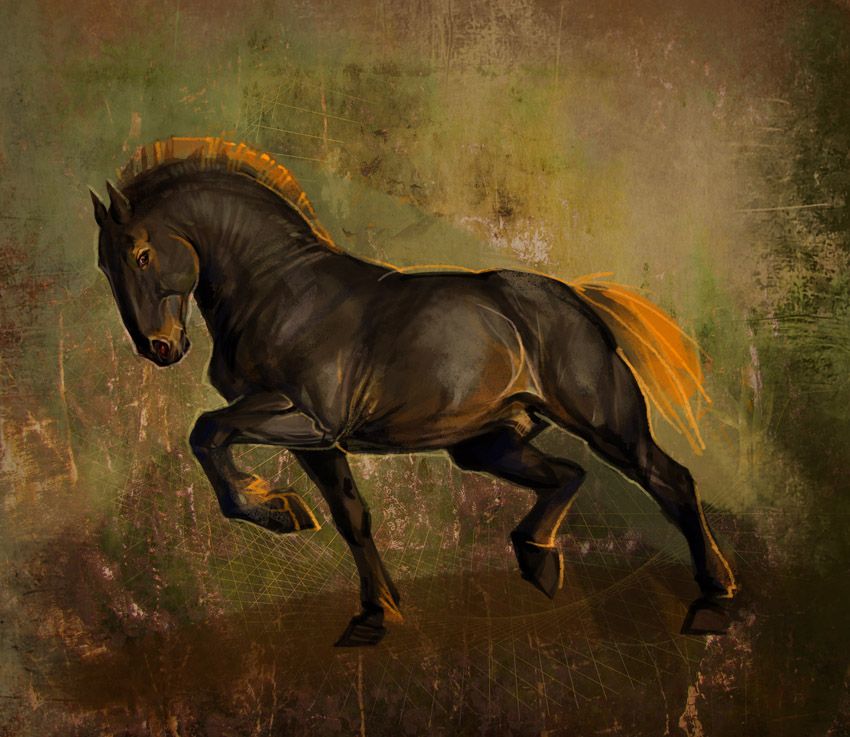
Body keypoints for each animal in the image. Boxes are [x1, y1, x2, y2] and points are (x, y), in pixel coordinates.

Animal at [90, 136, 737, 646]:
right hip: (484, 445)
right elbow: (352, 518)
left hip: (606, 424)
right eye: (105, 264)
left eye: (141, 253)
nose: (160, 348)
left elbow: (208, 431)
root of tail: (577, 298)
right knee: (566, 475)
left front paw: (279, 511)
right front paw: (374, 614)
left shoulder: (308, 419)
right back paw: (537, 559)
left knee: (670, 481)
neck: (281, 290)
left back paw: (714, 602)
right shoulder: (316, 443)